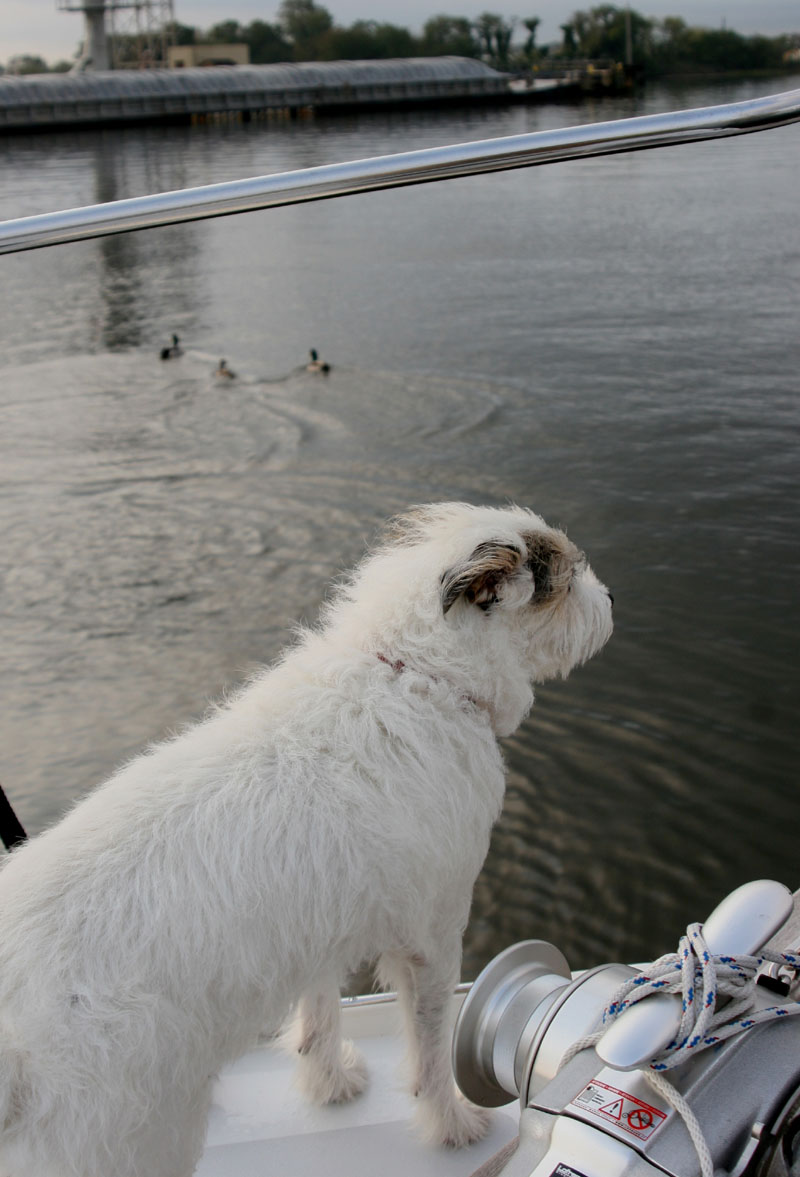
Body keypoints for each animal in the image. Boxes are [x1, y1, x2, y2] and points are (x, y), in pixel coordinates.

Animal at [0, 502, 613, 1177]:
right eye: (564, 579)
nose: (612, 599)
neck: (420, 677)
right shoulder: (434, 933)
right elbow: (430, 1044)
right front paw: (451, 1124)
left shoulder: (323, 930)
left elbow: (320, 1013)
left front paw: (329, 1085)